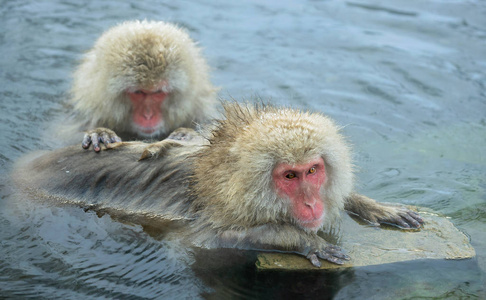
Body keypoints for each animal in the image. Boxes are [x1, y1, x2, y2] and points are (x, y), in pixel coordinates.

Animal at [15, 103, 424, 268]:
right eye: (289, 176)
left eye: (312, 171)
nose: (312, 205)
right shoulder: (206, 214)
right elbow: (212, 240)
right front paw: (303, 241)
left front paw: (376, 207)